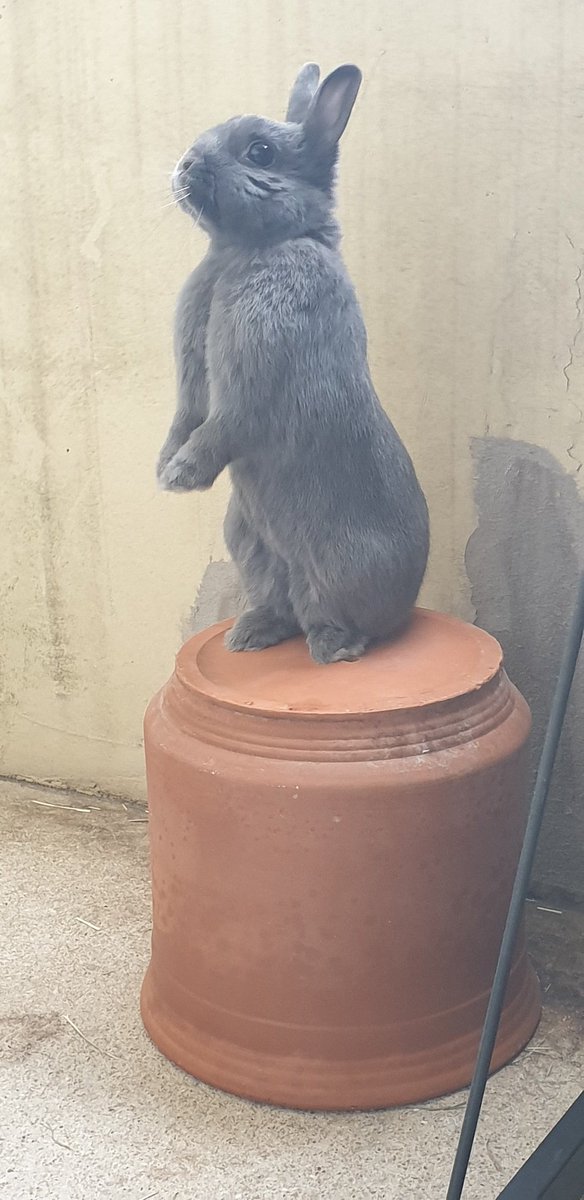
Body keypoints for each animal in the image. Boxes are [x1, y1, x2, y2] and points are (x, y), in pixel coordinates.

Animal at [158, 63, 430, 664]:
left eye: (260, 152)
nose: (185, 164)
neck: (249, 247)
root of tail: (406, 602)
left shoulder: (250, 382)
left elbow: (222, 426)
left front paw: (182, 478)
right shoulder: (192, 389)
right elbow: (186, 419)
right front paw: (163, 470)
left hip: (337, 567)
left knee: (338, 618)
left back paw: (335, 650)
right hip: (251, 546)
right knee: (281, 605)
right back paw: (245, 638)